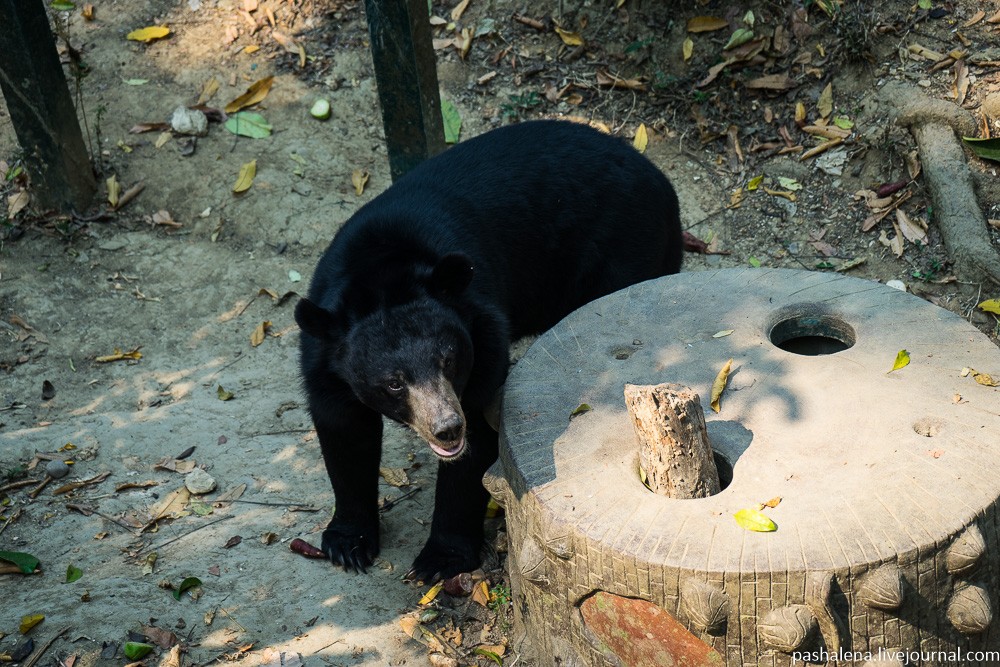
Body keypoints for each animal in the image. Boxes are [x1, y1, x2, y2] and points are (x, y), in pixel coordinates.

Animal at [292, 120, 680, 584]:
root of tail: (661, 182)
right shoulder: (324, 357)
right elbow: (344, 431)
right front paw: (347, 544)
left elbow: (476, 437)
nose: (446, 429)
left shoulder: (483, 333)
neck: (381, 270)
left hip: (621, 250)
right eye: (393, 383)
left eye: (448, 359)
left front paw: (438, 560)